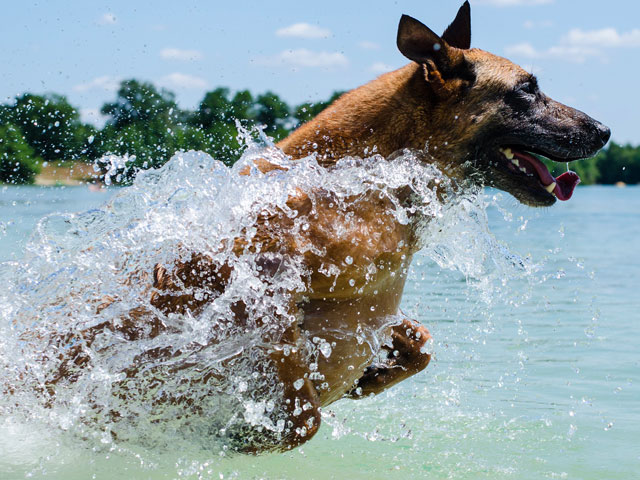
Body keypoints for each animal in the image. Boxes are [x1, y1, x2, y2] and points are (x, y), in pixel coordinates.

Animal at [47, 1, 608, 454]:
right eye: (527, 90)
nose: (605, 130)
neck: (369, 181)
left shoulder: (369, 307)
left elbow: (421, 345)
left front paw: (372, 377)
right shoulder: (244, 282)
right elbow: (303, 411)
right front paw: (249, 436)